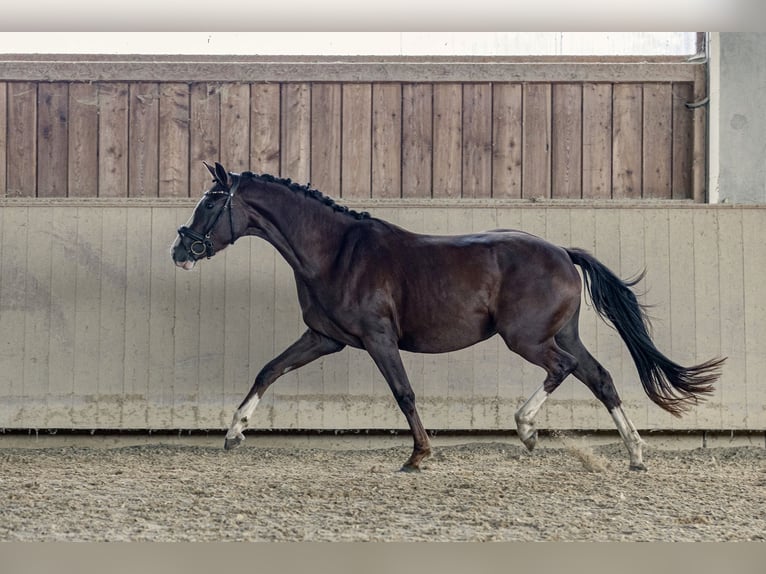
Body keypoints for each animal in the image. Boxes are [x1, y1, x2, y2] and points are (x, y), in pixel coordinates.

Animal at [171, 162, 725, 472]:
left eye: (211, 202)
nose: (180, 249)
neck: (335, 252)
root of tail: (564, 254)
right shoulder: (324, 337)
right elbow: (269, 369)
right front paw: (234, 432)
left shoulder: (377, 338)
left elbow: (404, 393)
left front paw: (419, 456)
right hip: (560, 334)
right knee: (600, 377)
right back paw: (634, 455)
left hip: (525, 338)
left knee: (563, 369)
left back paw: (527, 429)